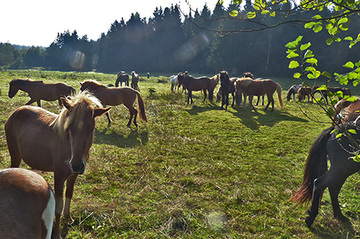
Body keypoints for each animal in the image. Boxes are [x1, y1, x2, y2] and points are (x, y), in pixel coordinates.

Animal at [4, 91, 109, 239]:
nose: (76, 165)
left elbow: (69, 194)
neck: (69, 148)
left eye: (91, 128)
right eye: (69, 128)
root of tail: (16, 111)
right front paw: (57, 233)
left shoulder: (73, 175)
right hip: (15, 157)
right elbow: (58, 207)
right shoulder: (59, 177)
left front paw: (68, 218)